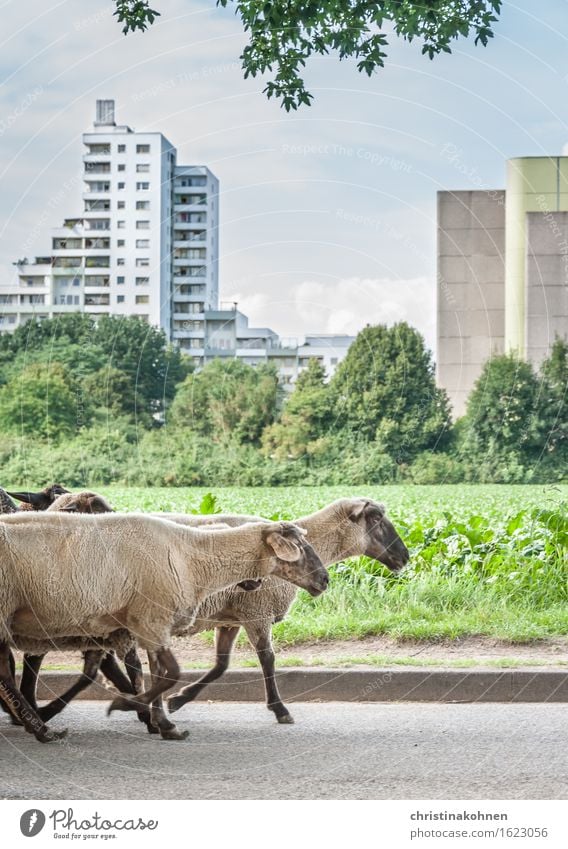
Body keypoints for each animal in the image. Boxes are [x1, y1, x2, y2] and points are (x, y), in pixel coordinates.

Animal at [0, 510, 328, 744]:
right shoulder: (151, 620)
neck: (191, 555)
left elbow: (159, 673)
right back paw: (42, 728)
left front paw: (163, 723)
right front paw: (130, 707)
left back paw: (37, 724)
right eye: (300, 546)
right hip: (4, 610)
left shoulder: (151, 624)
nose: (325, 580)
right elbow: (171, 673)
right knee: (6, 676)